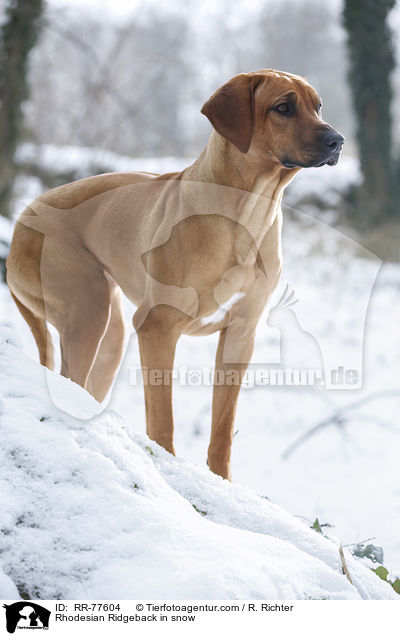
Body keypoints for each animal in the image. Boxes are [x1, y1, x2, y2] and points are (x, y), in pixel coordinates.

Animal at [6, 68, 344, 476]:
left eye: (318, 106)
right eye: (283, 107)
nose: (338, 140)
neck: (247, 213)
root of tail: (23, 216)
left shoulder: (240, 334)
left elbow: (222, 426)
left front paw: (220, 481)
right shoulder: (157, 327)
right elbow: (162, 418)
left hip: (109, 333)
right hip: (86, 311)